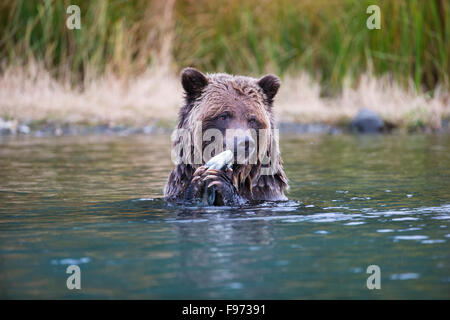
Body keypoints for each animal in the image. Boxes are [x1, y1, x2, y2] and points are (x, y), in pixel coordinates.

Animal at [164, 69, 288, 206]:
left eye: (252, 119)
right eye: (223, 116)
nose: (244, 142)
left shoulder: (265, 191)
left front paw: (220, 181)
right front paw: (197, 180)